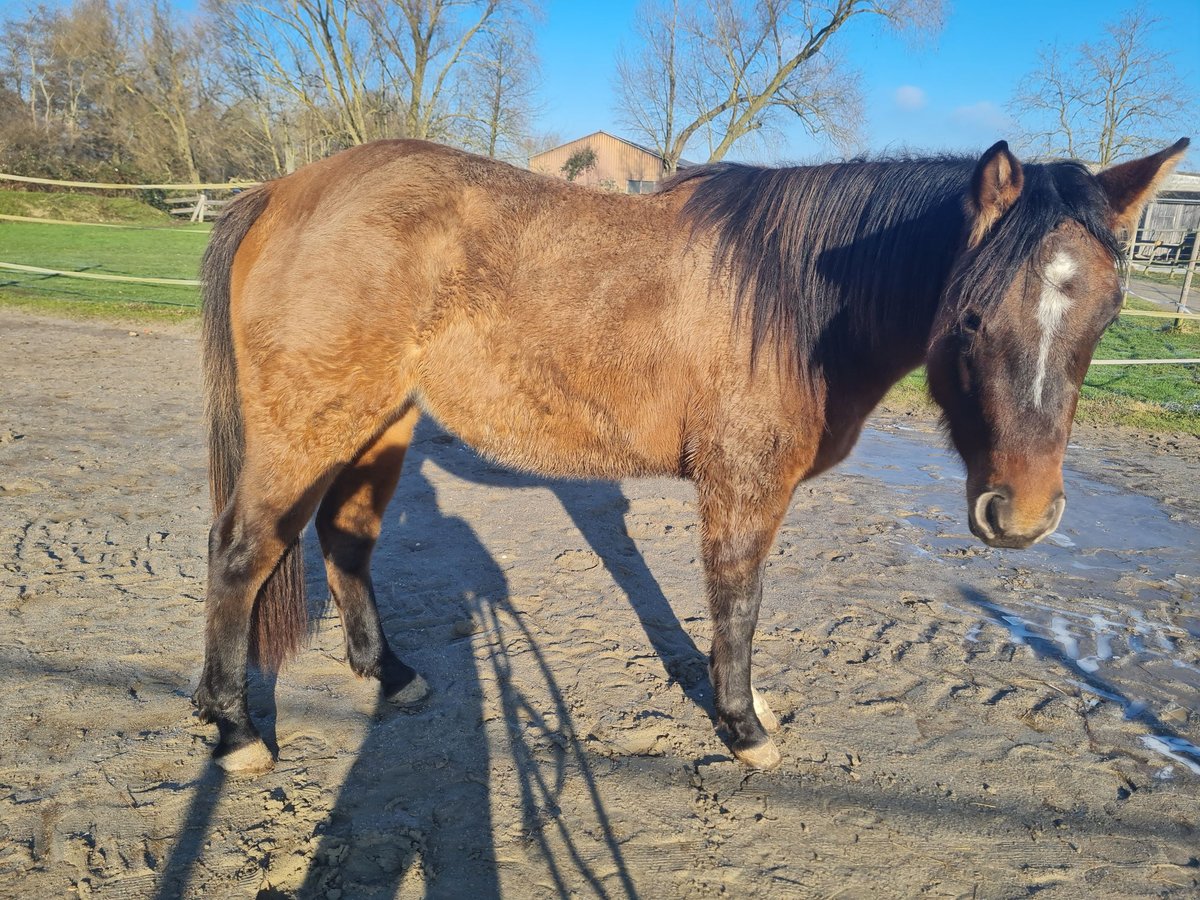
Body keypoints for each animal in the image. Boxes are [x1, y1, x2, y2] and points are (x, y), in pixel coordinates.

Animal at [192, 133, 1185, 777]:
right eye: (972, 316)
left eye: (1108, 316)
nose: (1022, 516)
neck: (791, 301)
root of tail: (281, 191)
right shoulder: (742, 485)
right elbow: (737, 605)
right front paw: (743, 726)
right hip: (309, 428)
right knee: (241, 552)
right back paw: (236, 732)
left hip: (378, 425)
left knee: (345, 537)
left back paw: (389, 676)